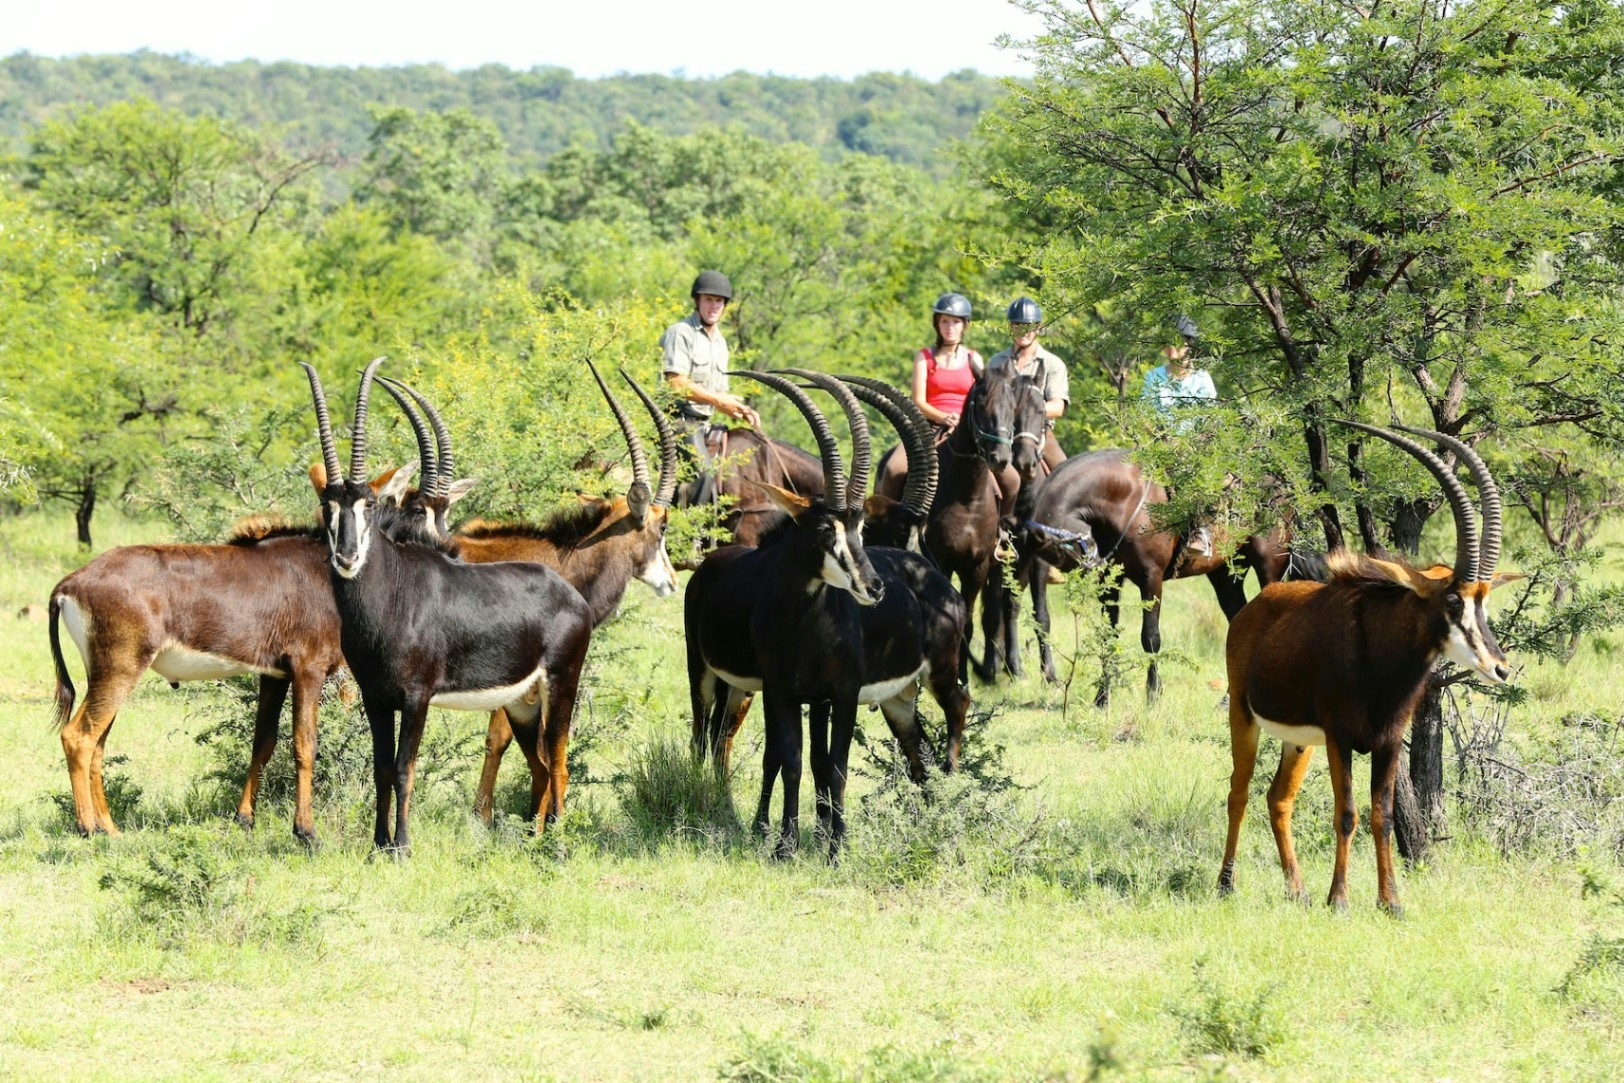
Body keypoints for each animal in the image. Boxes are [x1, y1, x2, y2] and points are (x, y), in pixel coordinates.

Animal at [51, 461, 418, 844]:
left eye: (369, 504)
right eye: (329, 505)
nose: (348, 558)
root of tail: (69, 585)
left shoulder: (275, 674)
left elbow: (264, 741)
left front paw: (245, 818)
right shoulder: (308, 669)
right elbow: (305, 743)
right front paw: (306, 832)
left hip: (105, 674)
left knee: (98, 742)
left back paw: (110, 828)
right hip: (119, 670)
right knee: (79, 737)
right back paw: (87, 827)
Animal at [302, 363, 594, 857]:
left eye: (369, 503)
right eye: (328, 505)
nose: (346, 557)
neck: (393, 597)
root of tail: (572, 596)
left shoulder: (416, 698)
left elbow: (405, 767)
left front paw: (402, 847)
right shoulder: (375, 698)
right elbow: (382, 768)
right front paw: (378, 845)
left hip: (561, 684)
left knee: (559, 760)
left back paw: (554, 841)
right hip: (522, 702)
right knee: (539, 763)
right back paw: (532, 838)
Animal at [1019, 448, 1299, 707]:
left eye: (1064, 549)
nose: (1096, 563)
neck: (1124, 497)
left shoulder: (1150, 579)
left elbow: (1150, 637)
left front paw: (1153, 694)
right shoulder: (1112, 581)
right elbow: (1108, 636)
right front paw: (1102, 698)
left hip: (1268, 565)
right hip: (1224, 575)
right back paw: (1228, 699)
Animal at [1221, 422, 1520, 915]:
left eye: (1484, 601)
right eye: (1453, 599)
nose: (1500, 668)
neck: (1379, 657)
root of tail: (1255, 608)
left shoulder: (1389, 740)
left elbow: (1382, 815)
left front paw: (1390, 901)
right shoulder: (1340, 737)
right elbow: (1347, 813)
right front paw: (1340, 900)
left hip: (1299, 741)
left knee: (1278, 799)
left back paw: (1298, 890)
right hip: (1243, 717)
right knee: (1238, 792)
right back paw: (1226, 884)